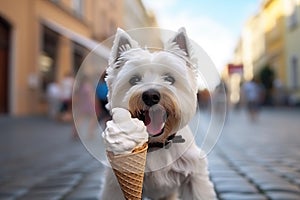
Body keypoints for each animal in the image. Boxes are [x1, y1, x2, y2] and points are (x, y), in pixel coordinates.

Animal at [100, 27, 216, 199]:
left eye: (169, 79)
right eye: (134, 80)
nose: (150, 95)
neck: (156, 143)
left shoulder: (194, 176)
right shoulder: (115, 184)